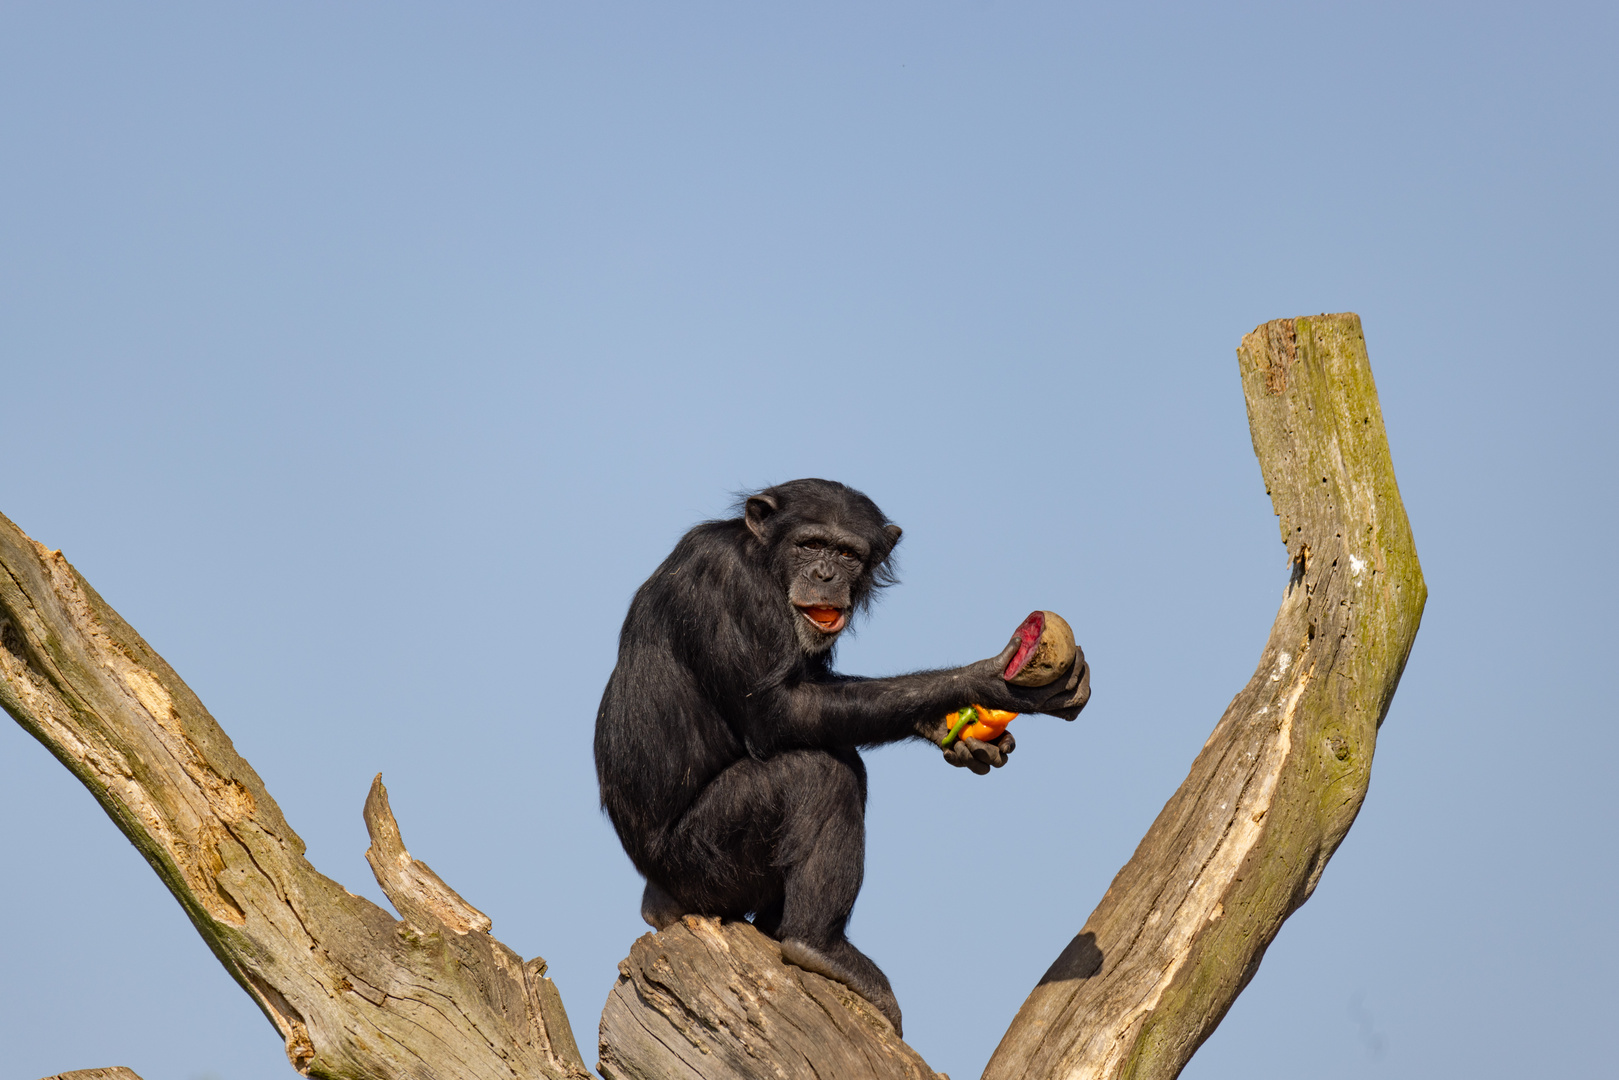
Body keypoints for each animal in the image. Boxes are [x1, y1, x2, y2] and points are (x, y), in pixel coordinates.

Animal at [595, 479, 1087, 1029]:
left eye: (848, 554)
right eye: (810, 545)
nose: (826, 574)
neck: (763, 560)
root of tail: (661, 903)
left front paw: (955, 729)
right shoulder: (725, 581)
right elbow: (779, 710)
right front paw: (984, 680)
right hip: (699, 864)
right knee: (820, 773)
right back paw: (817, 944)